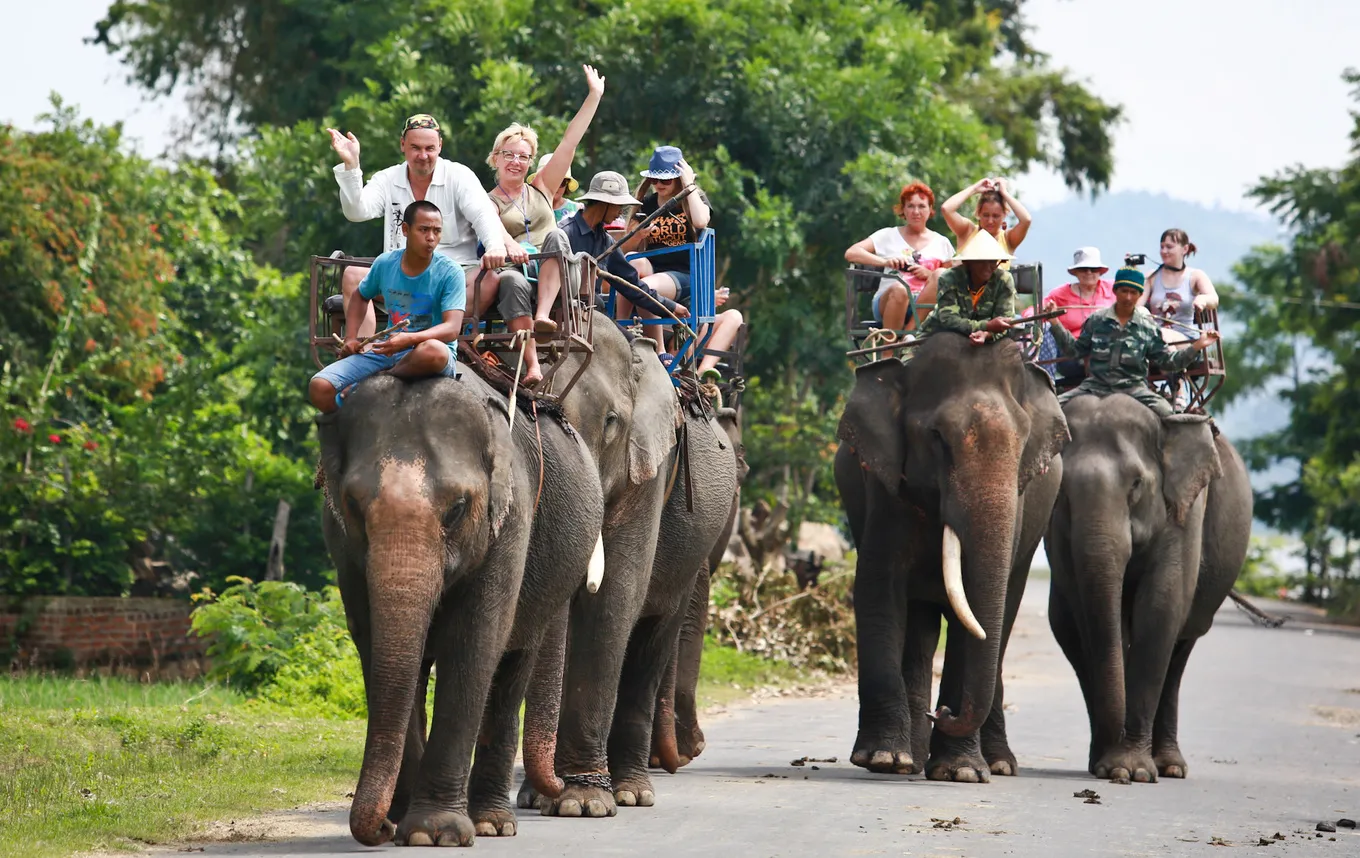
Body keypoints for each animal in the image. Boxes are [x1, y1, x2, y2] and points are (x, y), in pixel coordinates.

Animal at [315, 372, 603, 848]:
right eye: (354, 505)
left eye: (456, 509)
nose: (379, 829)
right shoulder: (340, 543)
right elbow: (373, 644)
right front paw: (404, 825)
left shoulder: (510, 523)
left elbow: (473, 645)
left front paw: (433, 834)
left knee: (510, 673)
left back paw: (491, 823)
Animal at [832, 334, 1066, 783]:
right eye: (937, 437)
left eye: (1023, 443)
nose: (941, 712)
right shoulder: (885, 487)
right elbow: (878, 588)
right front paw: (883, 759)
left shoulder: (1020, 502)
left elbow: (978, 616)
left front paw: (961, 772)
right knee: (921, 630)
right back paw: (911, 758)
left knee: (1001, 622)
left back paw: (997, 764)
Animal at [1039, 397, 1251, 783]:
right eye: (1062, 491)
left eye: (1137, 483)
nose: (1109, 765)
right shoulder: (1056, 530)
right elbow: (1087, 611)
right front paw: (1114, 766)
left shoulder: (1185, 509)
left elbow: (1160, 606)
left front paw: (1131, 771)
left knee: (1181, 647)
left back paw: (1168, 766)